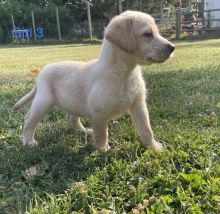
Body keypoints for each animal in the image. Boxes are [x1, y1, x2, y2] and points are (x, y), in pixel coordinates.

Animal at [13, 10, 175, 150]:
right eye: (148, 34)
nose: (172, 47)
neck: (124, 73)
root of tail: (41, 72)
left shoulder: (139, 106)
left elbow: (146, 129)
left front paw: (154, 147)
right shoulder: (99, 112)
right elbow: (102, 133)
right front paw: (102, 149)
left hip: (73, 102)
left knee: (71, 118)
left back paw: (85, 131)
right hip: (43, 102)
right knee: (29, 120)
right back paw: (29, 141)